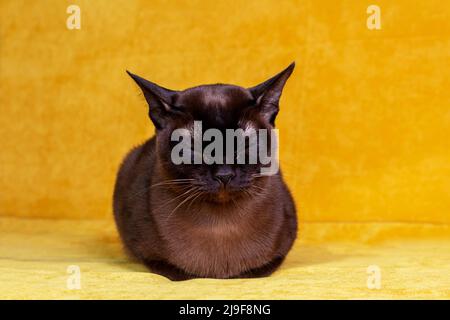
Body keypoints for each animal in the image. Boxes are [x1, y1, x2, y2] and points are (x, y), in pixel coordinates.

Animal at [112, 62, 298, 280]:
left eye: (244, 145)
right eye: (195, 149)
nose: (224, 175)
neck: (222, 228)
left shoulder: (277, 255)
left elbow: (255, 271)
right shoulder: (149, 256)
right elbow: (176, 271)